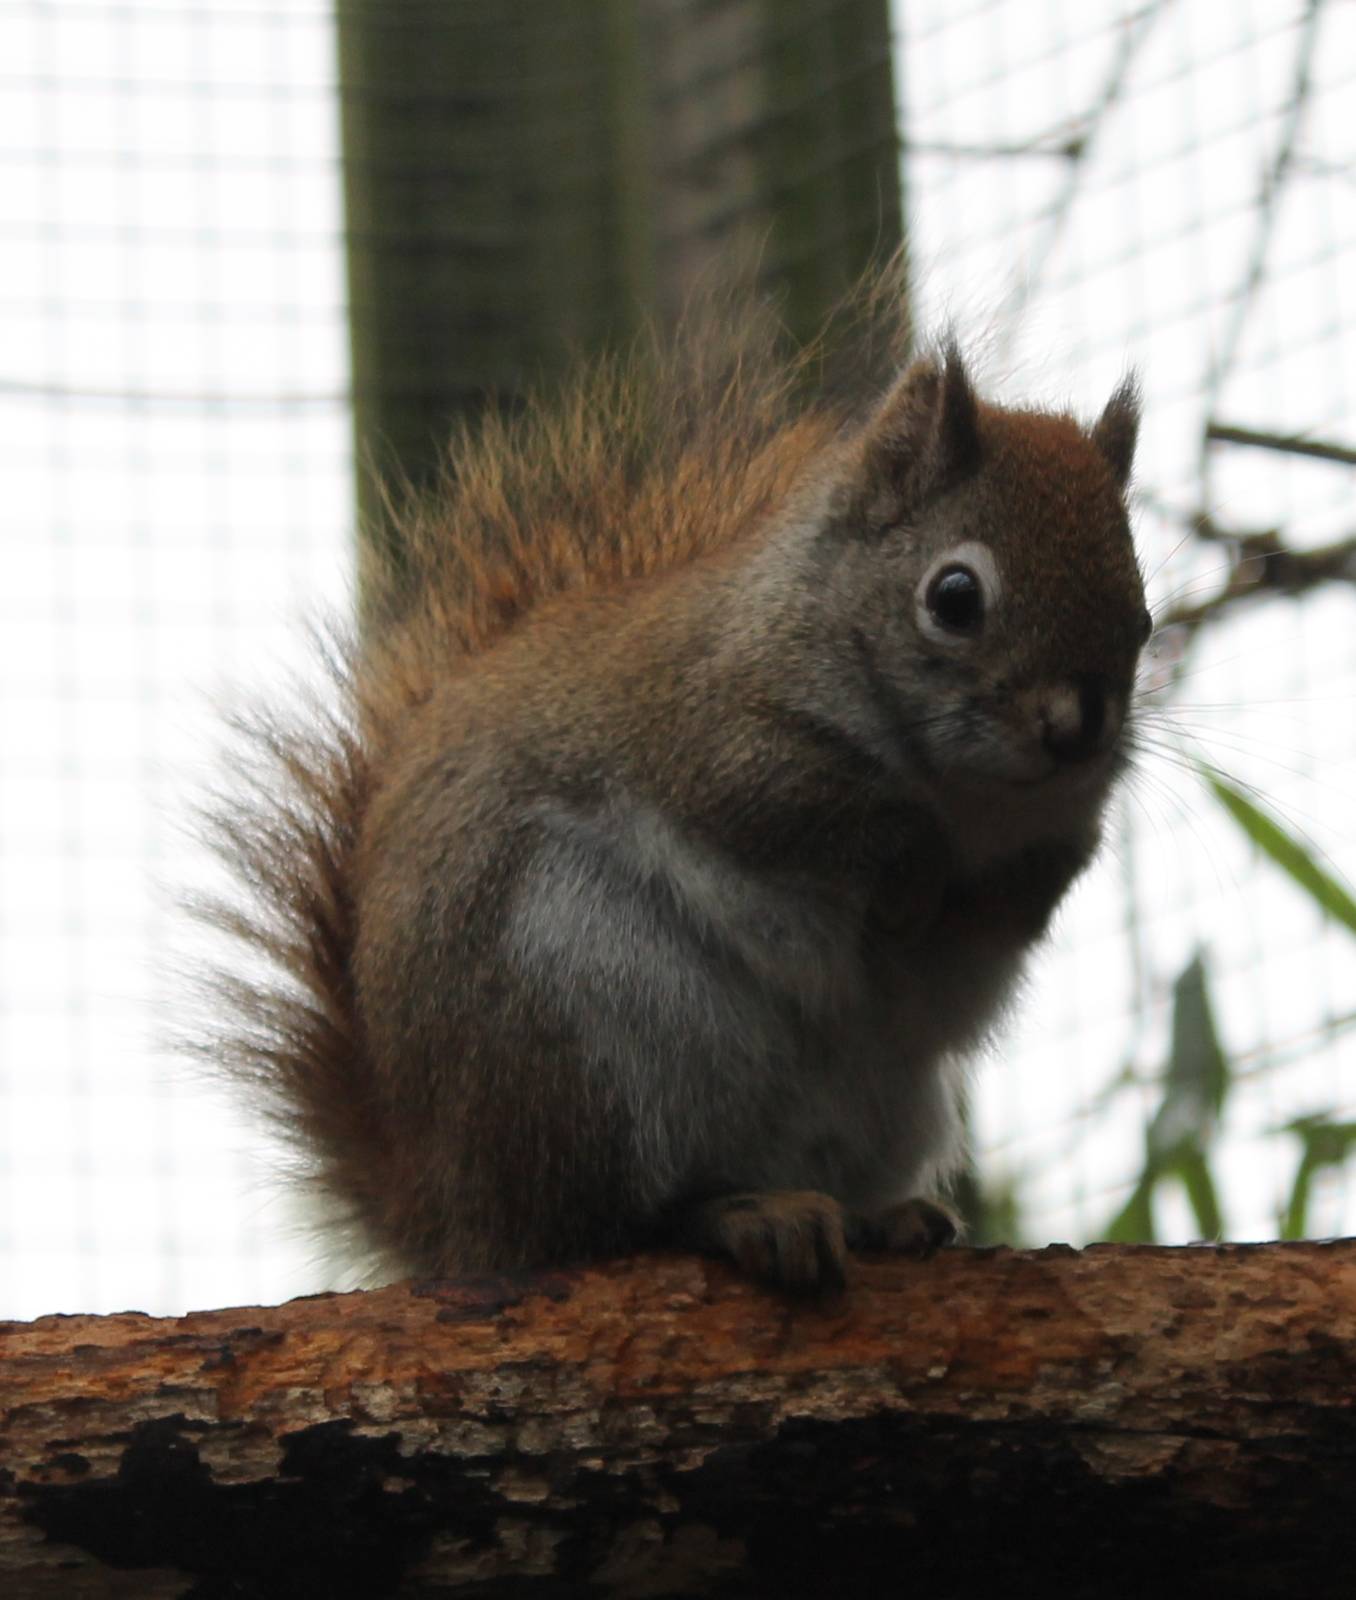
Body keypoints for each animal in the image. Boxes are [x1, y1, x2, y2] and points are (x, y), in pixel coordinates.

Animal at [198, 307, 1149, 1296]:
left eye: (1142, 611)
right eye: (955, 596)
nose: (1078, 726)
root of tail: (452, 1216)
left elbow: (1025, 899)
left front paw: (1008, 885)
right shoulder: (708, 731)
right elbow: (817, 810)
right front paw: (913, 868)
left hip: (879, 1104)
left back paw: (878, 1217)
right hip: (584, 1032)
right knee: (613, 1221)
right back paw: (741, 1212)